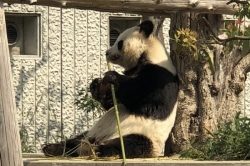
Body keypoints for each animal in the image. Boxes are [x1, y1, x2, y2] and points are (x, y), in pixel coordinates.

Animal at [43, 20, 180, 159]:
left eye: (119, 43)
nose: (107, 52)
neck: (149, 54)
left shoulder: (161, 77)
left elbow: (146, 100)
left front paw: (111, 76)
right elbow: (110, 104)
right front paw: (97, 84)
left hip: (143, 135)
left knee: (130, 144)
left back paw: (100, 149)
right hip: (90, 133)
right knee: (76, 140)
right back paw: (54, 148)